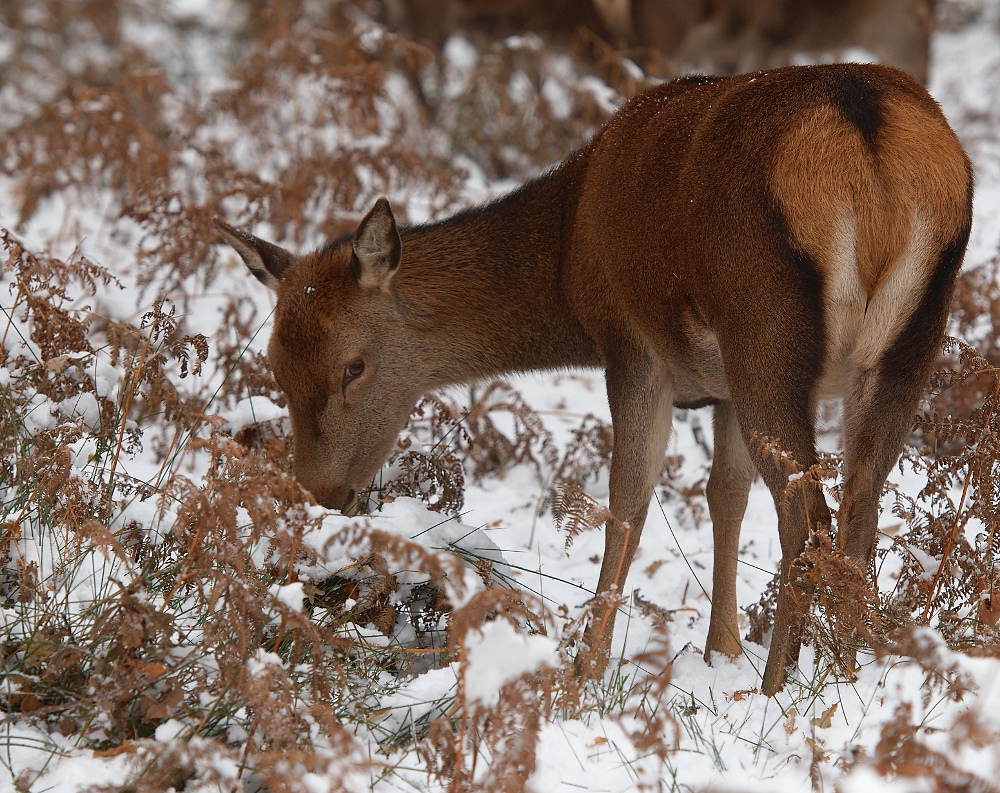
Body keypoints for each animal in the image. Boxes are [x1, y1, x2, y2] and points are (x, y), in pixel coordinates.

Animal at [215, 63, 972, 692]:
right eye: (274, 365)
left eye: (354, 365)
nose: (316, 492)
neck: (568, 257)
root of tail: (868, 139)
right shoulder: (720, 385)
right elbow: (723, 495)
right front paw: (720, 651)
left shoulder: (632, 344)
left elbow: (626, 502)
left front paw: (583, 674)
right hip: (909, 345)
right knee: (859, 506)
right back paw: (843, 681)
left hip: (768, 326)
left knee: (806, 517)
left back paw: (778, 688)